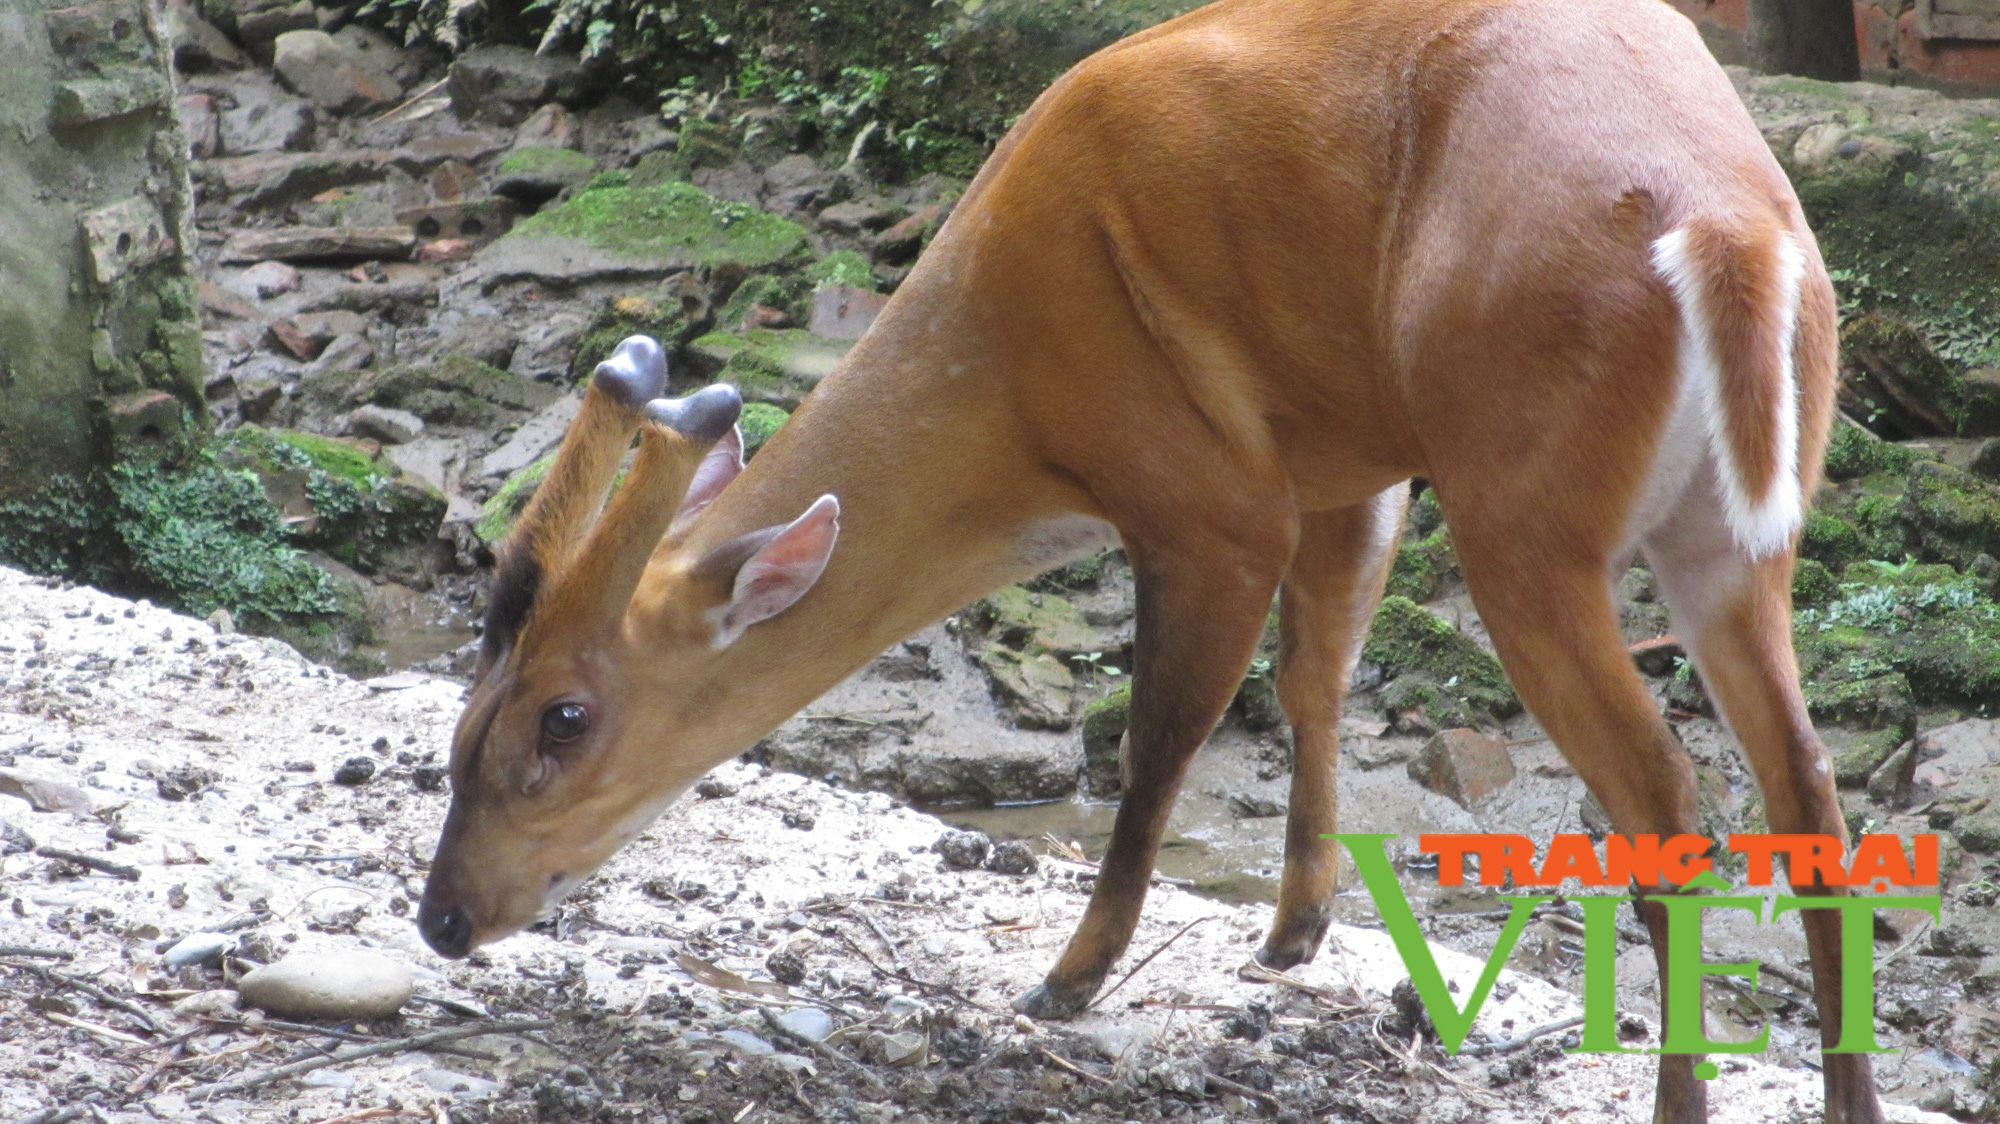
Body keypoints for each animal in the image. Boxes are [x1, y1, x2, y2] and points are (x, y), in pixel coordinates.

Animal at [414, 4, 1864, 1112]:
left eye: (562, 717)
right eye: (463, 718)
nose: (442, 918)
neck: (1012, 401)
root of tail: (1734, 239)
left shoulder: (1210, 496)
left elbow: (1158, 740)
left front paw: (1067, 976)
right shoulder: (1347, 462)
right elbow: (1313, 676)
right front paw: (1292, 929)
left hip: (1522, 506)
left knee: (1672, 800)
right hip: (1727, 534)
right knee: (1807, 791)